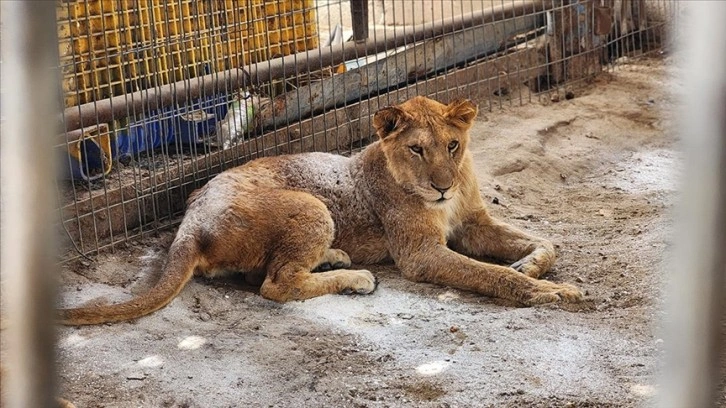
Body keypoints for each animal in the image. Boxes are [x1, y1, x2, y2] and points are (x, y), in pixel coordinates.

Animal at [61, 95, 584, 326]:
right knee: (275, 285)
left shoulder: (474, 223)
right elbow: (491, 275)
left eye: (453, 145)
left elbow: (546, 241)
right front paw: (546, 291)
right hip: (312, 205)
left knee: (263, 274)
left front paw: (530, 265)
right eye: (416, 149)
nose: (441, 187)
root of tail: (188, 223)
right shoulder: (420, 255)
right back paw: (356, 278)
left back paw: (335, 259)